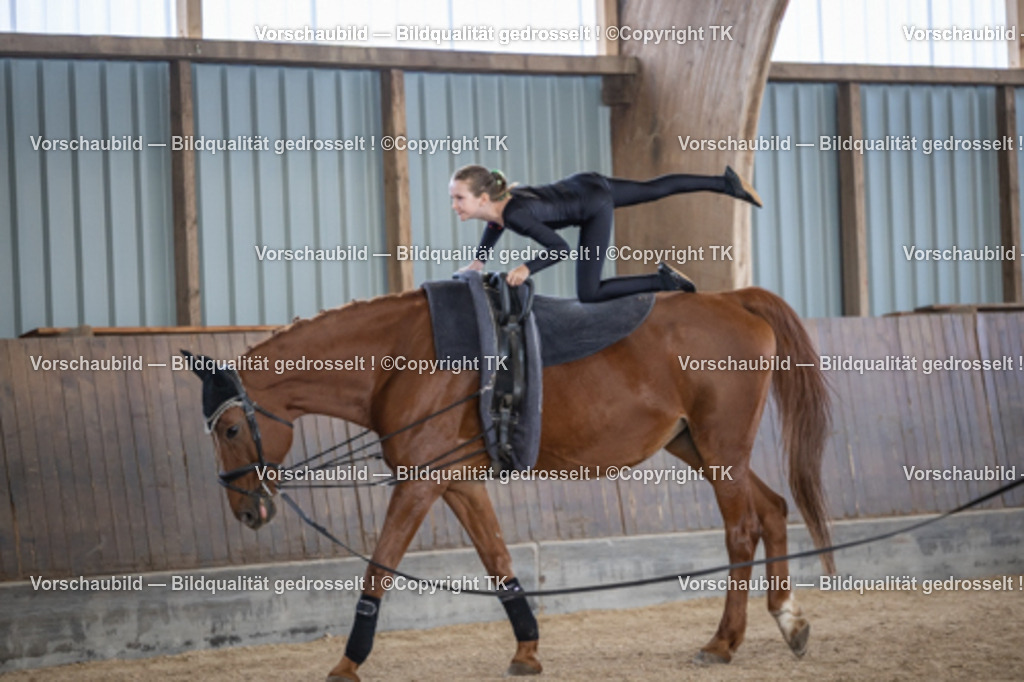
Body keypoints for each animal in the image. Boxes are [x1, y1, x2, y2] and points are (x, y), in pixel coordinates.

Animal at [184, 284, 834, 681]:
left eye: (234, 428)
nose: (247, 511)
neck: (403, 359)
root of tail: (735, 300)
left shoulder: (418, 484)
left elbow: (379, 567)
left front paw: (347, 664)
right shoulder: (456, 483)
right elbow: (498, 561)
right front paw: (527, 649)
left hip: (720, 450)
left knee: (742, 528)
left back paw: (724, 642)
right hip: (698, 446)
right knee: (773, 510)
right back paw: (789, 621)